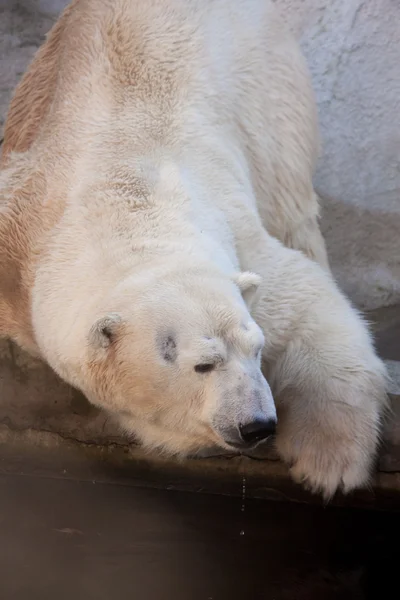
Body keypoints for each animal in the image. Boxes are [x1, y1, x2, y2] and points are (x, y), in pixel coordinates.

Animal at [0, 0, 388, 496]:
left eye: (256, 347)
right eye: (204, 364)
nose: (257, 424)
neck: (124, 195)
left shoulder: (237, 236)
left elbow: (306, 302)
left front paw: (329, 462)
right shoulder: (20, 229)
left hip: (272, 93)